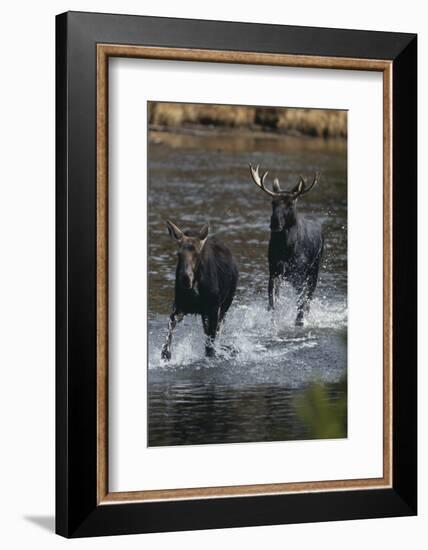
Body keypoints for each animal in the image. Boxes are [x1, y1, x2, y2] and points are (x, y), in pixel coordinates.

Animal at [161, 220, 239, 362]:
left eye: (197, 254)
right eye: (178, 254)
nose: (185, 279)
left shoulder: (213, 309)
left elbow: (210, 345)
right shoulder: (179, 307)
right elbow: (168, 335)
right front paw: (166, 355)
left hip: (226, 304)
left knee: (217, 330)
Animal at [249, 164, 322, 328]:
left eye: (290, 204)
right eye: (273, 202)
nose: (275, 222)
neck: (286, 248)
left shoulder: (299, 272)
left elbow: (301, 300)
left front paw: (299, 321)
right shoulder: (274, 271)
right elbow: (272, 302)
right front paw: (273, 320)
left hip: (314, 269)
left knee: (309, 296)